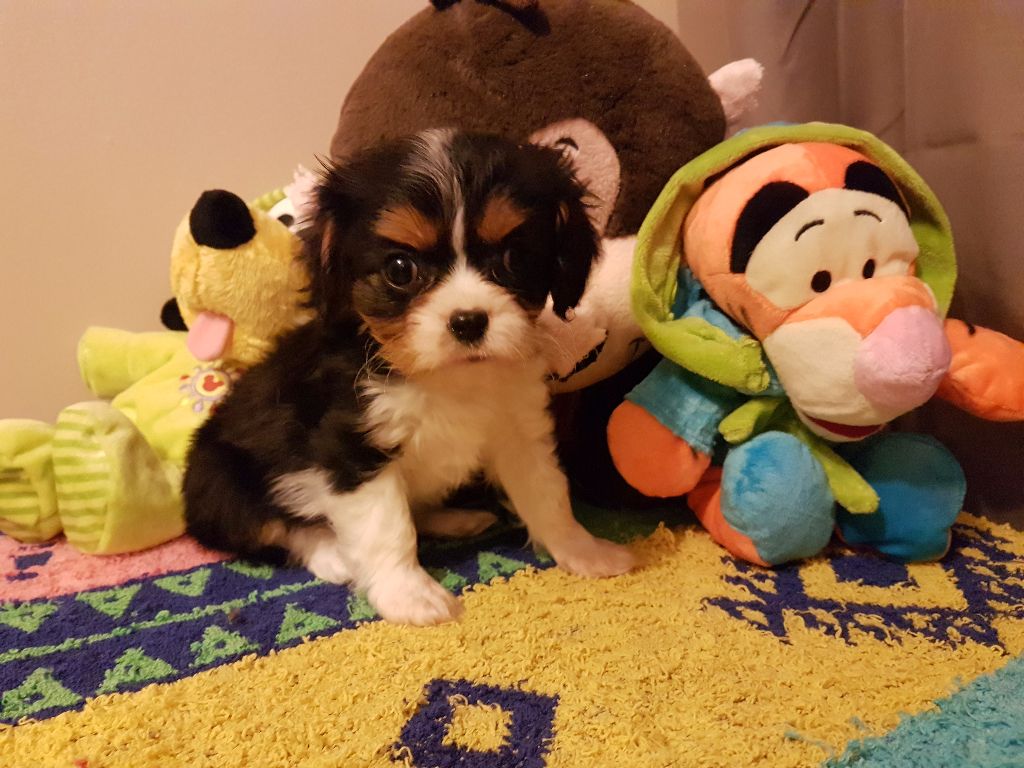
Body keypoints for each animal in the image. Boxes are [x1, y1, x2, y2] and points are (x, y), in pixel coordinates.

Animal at [183, 129, 636, 625]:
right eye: (400, 269)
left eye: (514, 259)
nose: (468, 321)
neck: (445, 377)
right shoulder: (353, 443)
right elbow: (387, 527)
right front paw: (409, 594)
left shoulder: (520, 429)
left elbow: (548, 494)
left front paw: (583, 551)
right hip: (219, 479)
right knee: (274, 526)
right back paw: (334, 554)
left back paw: (455, 518)